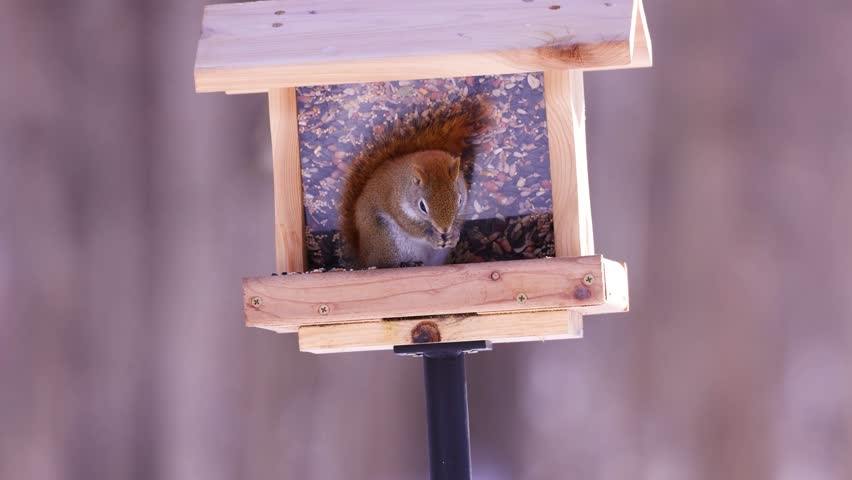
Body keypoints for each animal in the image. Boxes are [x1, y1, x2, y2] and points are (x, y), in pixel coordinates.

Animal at [339, 97, 490, 268]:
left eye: (459, 200)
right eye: (422, 206)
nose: (444, 230)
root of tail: (362, 258)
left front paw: (454, 234)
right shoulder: (395, 201)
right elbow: (409, 225)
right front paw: (430, 236)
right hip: (387, 240)